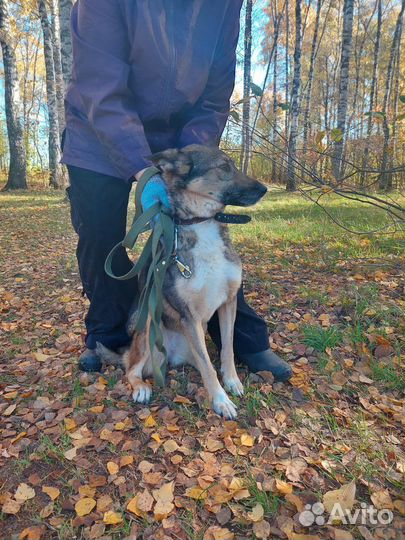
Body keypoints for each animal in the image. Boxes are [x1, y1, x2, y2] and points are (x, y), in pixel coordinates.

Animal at [99, 143, 266, 418]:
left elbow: (227, 349)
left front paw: (231, 380)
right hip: (147, 323)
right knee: (131, 368)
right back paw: (140, 387)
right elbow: (209, 368)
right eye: (224, 167)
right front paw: (221, 400)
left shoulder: (228, 303)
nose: (264, 189)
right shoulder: (189, 316)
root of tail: (172, 356)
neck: (203, 224)